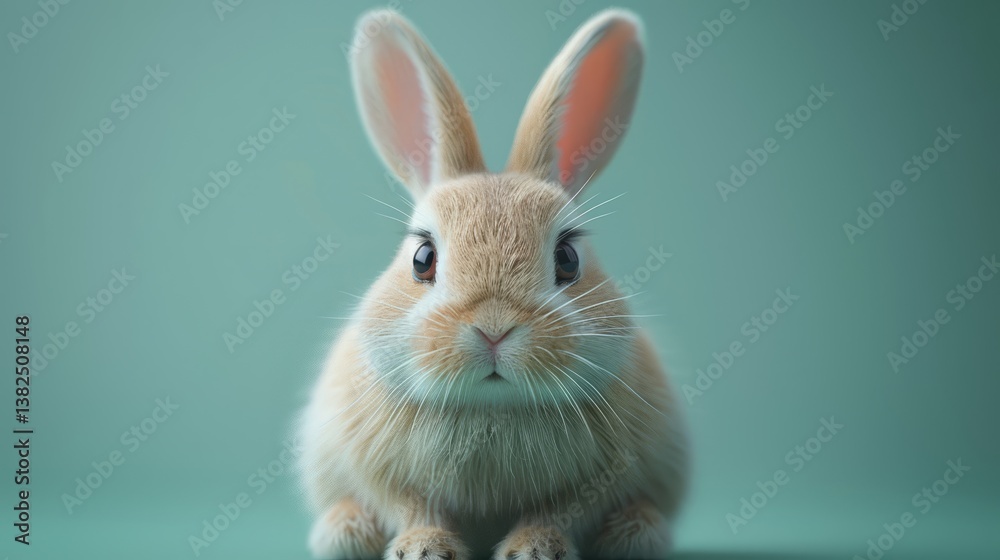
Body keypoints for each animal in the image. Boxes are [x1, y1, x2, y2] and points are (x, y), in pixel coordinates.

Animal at [297, 7, 689, 560]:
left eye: (568, 259)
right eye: (422, 259)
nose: (494, 328)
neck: (492, 407)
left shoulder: (594, 480)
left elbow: (557, 511)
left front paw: (535, 550)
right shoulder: (383, 472)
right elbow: (413, 507)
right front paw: (423, 550)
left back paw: (634, 533)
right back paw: (345, 530)